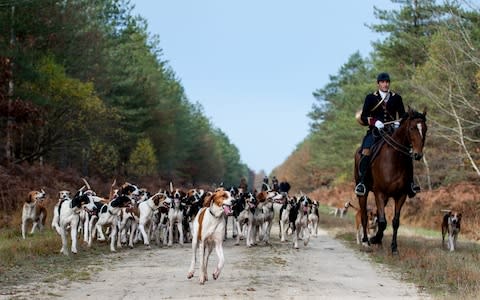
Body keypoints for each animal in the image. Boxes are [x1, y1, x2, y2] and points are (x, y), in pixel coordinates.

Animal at [352, 106, 428, 254]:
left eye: (425, 128)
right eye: (412, 128)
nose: (417, 155)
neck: (395, 159)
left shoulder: (401, 195)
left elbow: (394, 222)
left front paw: (393, 248)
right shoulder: (379, 193)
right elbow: (382, 222)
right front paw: (373, 239)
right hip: (363, 193)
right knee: (364, 215)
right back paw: (365, 241)